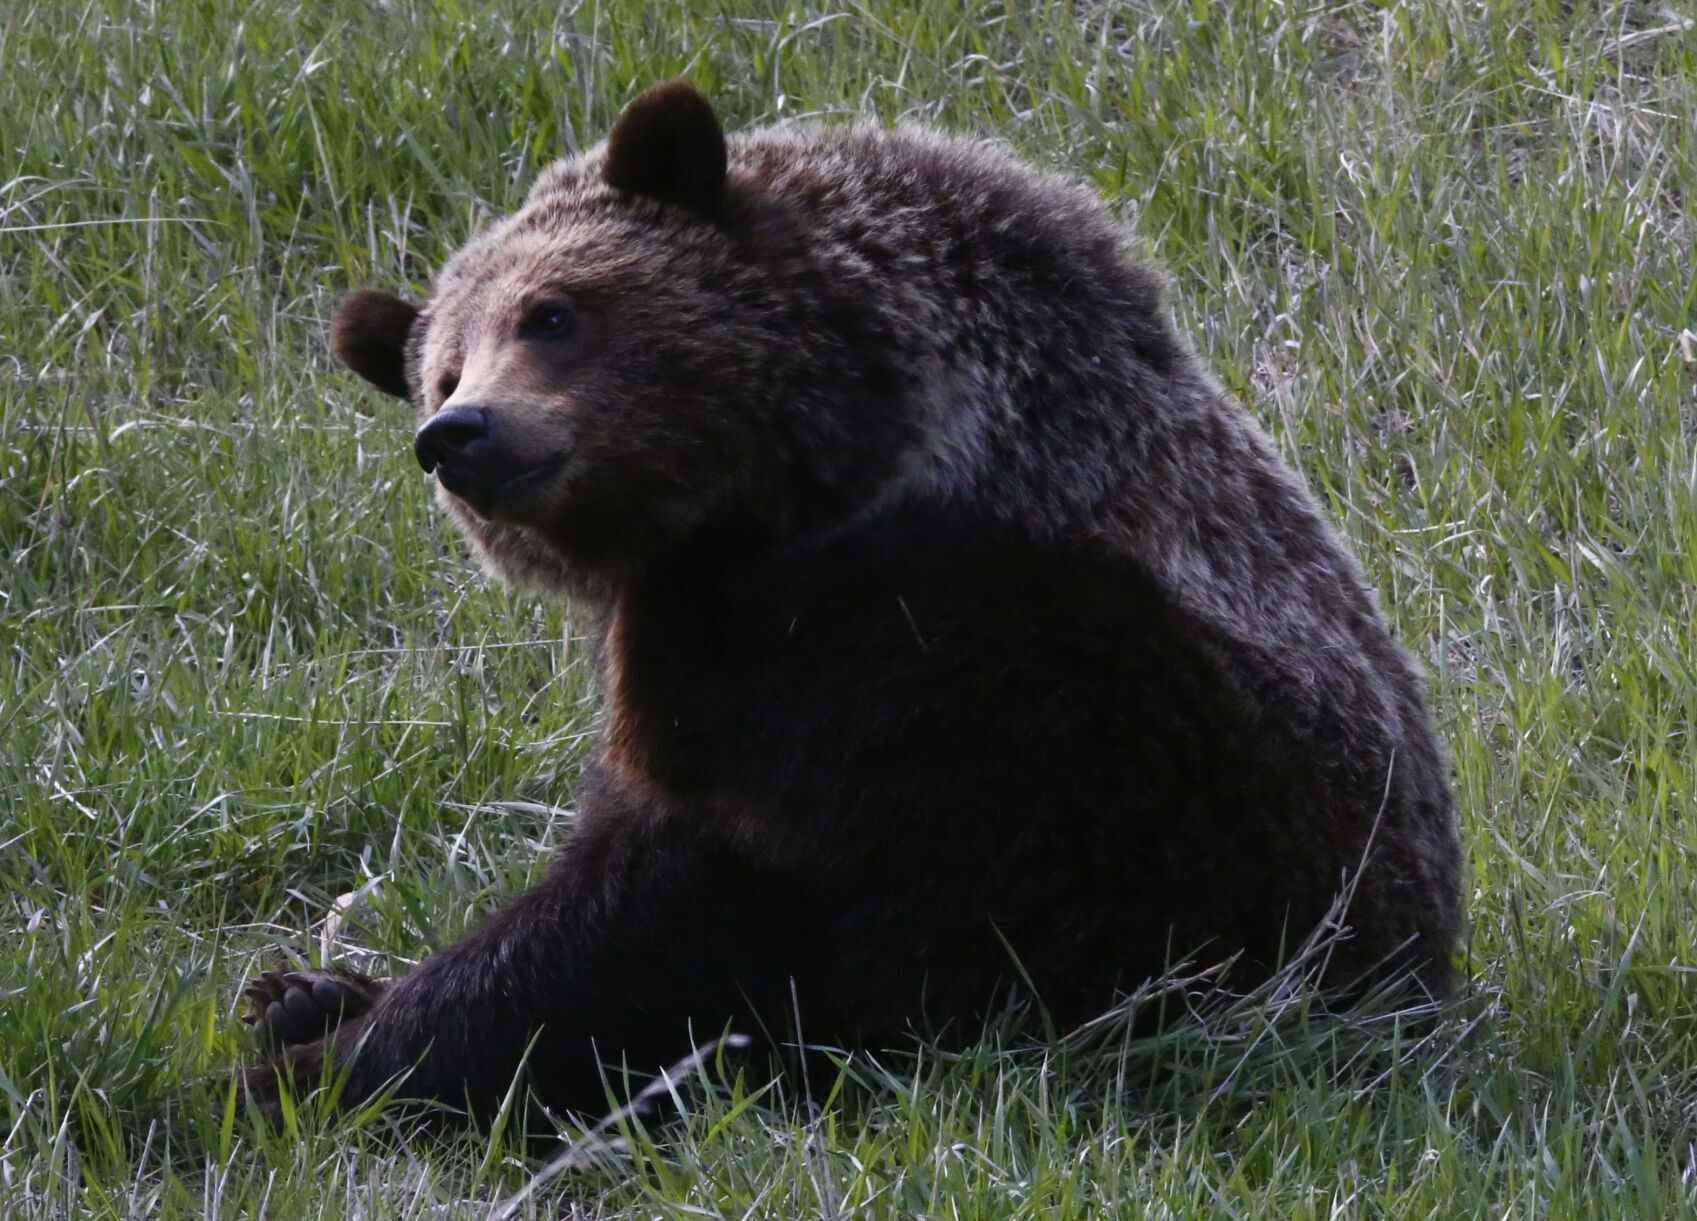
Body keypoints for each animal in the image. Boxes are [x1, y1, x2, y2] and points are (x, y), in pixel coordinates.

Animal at [235, 78, 1459, 1126]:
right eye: (441, 367)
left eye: (551, 313)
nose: (460, 434)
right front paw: (308, 994)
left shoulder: (933, 671)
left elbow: (659, 919)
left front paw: (329, 1057)